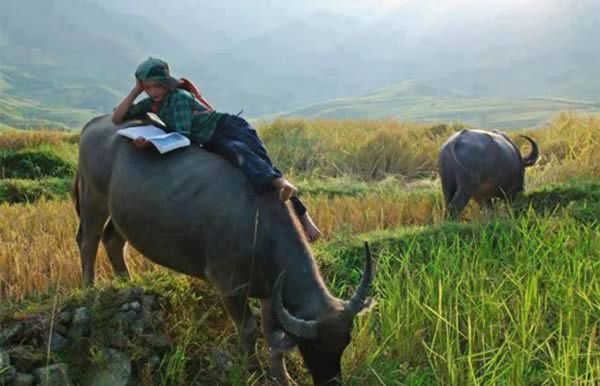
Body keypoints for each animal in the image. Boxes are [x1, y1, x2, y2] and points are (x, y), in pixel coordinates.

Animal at [72, 114, 372, 386]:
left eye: (345, 342)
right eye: (313, 346)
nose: (331, 382)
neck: (259, 224)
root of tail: (96, 123)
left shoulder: (269, 292)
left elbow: (272, 338)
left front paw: (283, 378)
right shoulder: (228, 285)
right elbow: (249, 330)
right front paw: (251, 370)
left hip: (121, 211)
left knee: (113, 240)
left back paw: (127, 281)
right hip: (92, 199)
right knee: (89, 241)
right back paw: (89, 286)